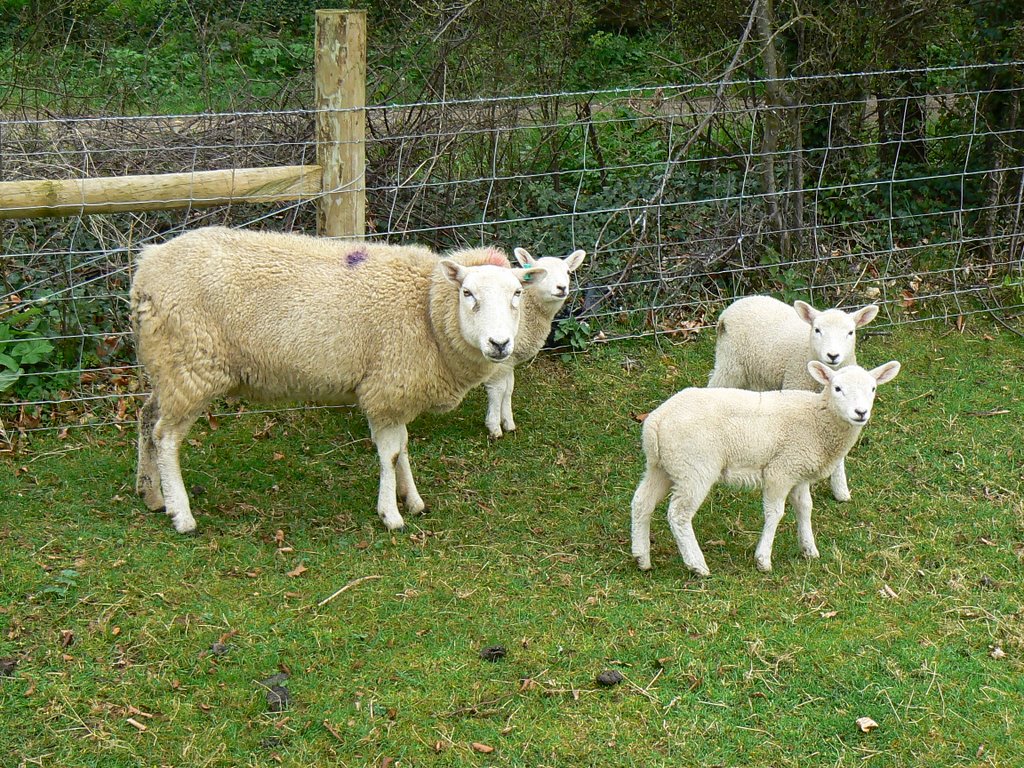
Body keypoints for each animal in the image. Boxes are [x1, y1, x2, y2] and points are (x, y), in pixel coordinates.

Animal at [131, 225, 548, 536]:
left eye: (517, 293)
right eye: (467, 293)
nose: (499, 344)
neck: (427, 311)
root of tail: (146, 266)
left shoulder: (398, 392)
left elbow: (403, 448)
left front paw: (412, 500)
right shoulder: (386, 388)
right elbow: (390, 453)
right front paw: (391, 514)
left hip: (166, 365)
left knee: (147, 418)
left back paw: (151, 494)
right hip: (190, 363)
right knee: (166, 437)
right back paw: (182, 514)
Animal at [479, 246, 585, 438]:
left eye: (568, 272)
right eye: (544, 272)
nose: (562, 287)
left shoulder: (509, 359)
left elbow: (509, 389)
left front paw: (508, 422)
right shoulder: (498, 357)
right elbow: (498, 390)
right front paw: (494, 427)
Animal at [626, 360, 901, 577]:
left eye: (873, 388)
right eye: (837, 388)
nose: (860, 412)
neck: (817, 419)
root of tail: (655, 422)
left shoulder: (799, 470)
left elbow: (805, 508)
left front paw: (809, 549)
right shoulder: (780, 470)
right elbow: (775, 513)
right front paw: (763, 559)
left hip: (663, 466)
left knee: (641, 502)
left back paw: (642, 558)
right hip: (695, 467)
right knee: (679, 515)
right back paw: (697, 565)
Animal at [704, 296, 880, 505]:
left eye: (850, 332)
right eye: (817, 330)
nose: (833, 355)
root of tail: (735, 305)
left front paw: (840, 490)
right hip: (730, 364)